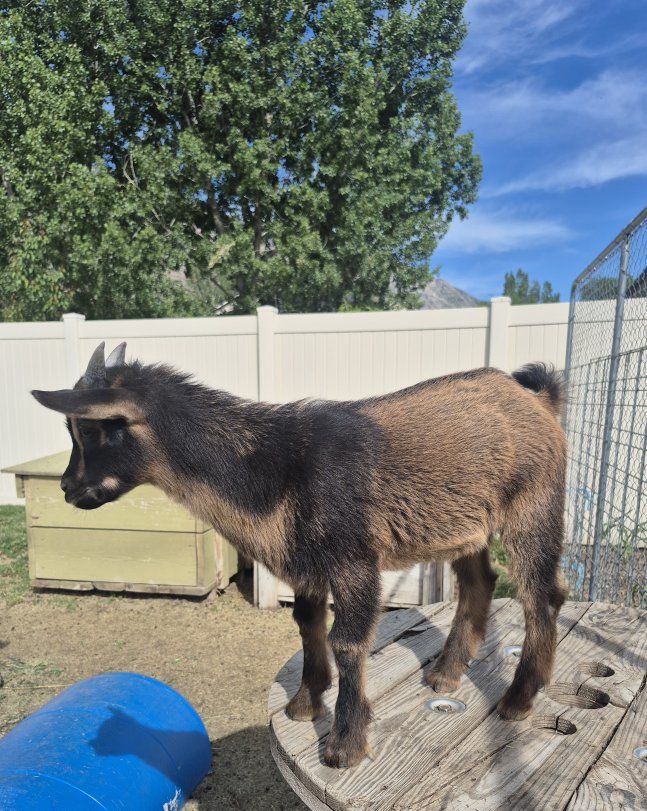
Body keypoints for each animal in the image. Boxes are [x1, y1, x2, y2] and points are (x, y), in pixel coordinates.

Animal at [32, 343, 567, 767]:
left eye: (91, 429)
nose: (67, 488)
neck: (277, 465)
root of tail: (539, 399)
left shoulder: (354, 558)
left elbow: (347, 642)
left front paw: (344, 744)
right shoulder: (307, 560)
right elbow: (308, 623)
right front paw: (305, 703)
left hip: (532, 504)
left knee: (542, 595)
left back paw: (519, 698)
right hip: (464, 527)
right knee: (481, 581)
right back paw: (445, 674)